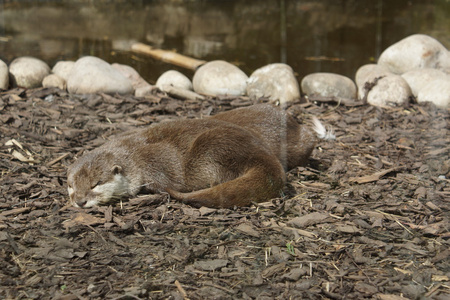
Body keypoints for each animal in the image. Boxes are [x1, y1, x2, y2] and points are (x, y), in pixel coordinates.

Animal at [67, 105, 334, 209]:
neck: (132, 155)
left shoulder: (156, 162)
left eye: (96, 184)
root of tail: (262, 155)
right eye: (71, 186)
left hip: (213, 148)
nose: (80, 201)